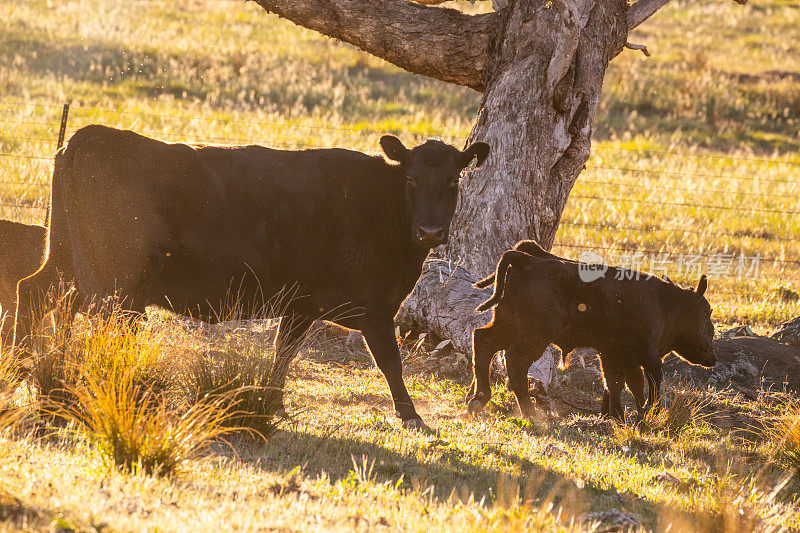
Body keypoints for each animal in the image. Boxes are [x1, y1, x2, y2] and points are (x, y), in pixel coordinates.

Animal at [15, 122, 490, 430]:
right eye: (411, 179)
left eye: (453, 181)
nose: (430, 231)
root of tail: (89, 136)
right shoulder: (373, 308)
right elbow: (390, 360)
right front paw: (412, 416)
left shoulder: (301, 304)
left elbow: (283, 353)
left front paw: (274, 404)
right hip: (112, 282)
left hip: (65, 260)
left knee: (33, 291)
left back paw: (23, 367)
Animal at [466, 240, 716, 420]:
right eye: (707, 314)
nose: (712, 357)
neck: (662, 302)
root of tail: (525, 259)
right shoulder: (647, 356)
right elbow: (645, 384)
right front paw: (643, 413)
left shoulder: (616, 355)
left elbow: (618, 384)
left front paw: (615, 415)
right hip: (535, 335)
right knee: (515, 360)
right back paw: (530, 413)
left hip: (507, 325)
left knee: (483, 341)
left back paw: (477, 400)